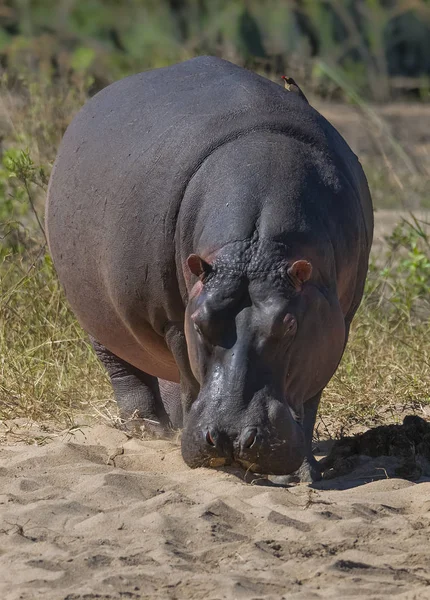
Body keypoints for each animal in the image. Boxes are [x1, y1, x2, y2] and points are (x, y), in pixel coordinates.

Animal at [45, 55, 372, 478]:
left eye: (289, 325)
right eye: (200, 322)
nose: (231, 437)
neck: (255, 250)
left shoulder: (335, 324)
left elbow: (310, 397)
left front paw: (300, 473)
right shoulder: (175, 319)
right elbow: (187, 377)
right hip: (101, 318)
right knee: (126, 369)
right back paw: (150, 429)